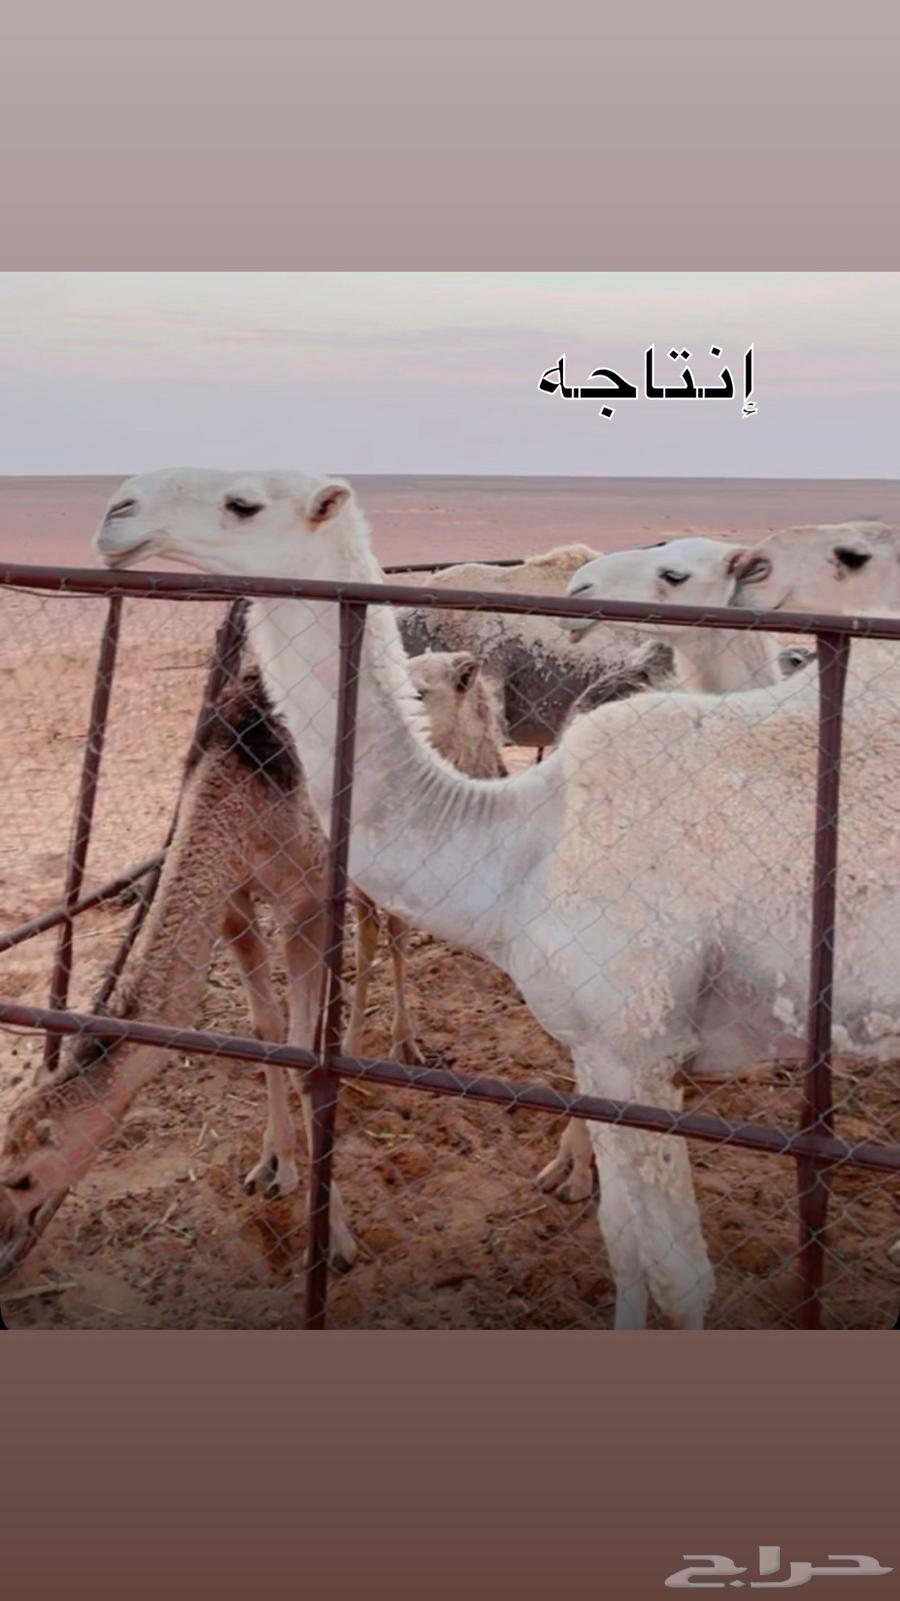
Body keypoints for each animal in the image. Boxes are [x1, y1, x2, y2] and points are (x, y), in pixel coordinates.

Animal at [0, 626, 506, 1279]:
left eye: (20, 1178)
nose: (3, 1240)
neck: (236, 794)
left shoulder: (306, 898)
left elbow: (301, 1051)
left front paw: (336, 1239)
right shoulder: (236, 900)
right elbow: (267, 1032)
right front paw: (274, 1167)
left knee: (394, 926)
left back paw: (405, 1044)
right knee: (373, 927)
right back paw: (358, 1046)